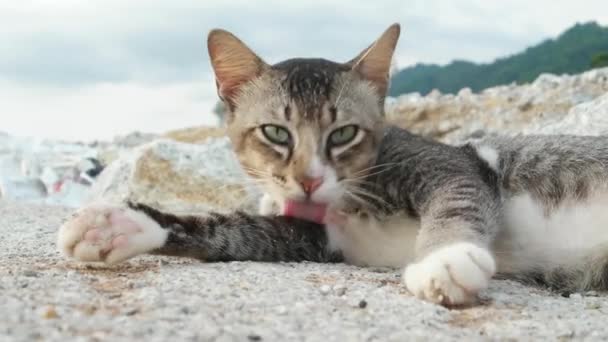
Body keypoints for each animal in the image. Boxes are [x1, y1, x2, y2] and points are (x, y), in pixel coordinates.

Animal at [59, 23, 608, 308]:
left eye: (343, 134)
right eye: (276, 133)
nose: (308, 179)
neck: (345, 198)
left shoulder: (451, 163)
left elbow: (458, 198)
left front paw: (446, 258)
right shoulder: (315, 238)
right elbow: (233, 230)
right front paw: (121, 224)